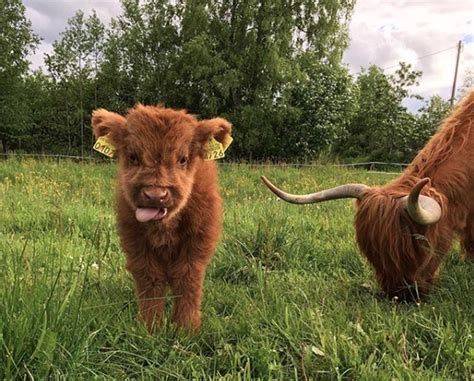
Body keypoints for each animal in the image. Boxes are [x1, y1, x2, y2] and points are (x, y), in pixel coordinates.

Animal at [90, 104, 231, 330]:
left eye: (182, 159)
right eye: (133, 157)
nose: (155, 195)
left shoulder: (197, 243)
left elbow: (187, 278)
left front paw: (186, 328)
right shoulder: (136, 243)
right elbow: (150, 280)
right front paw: (151, 327)